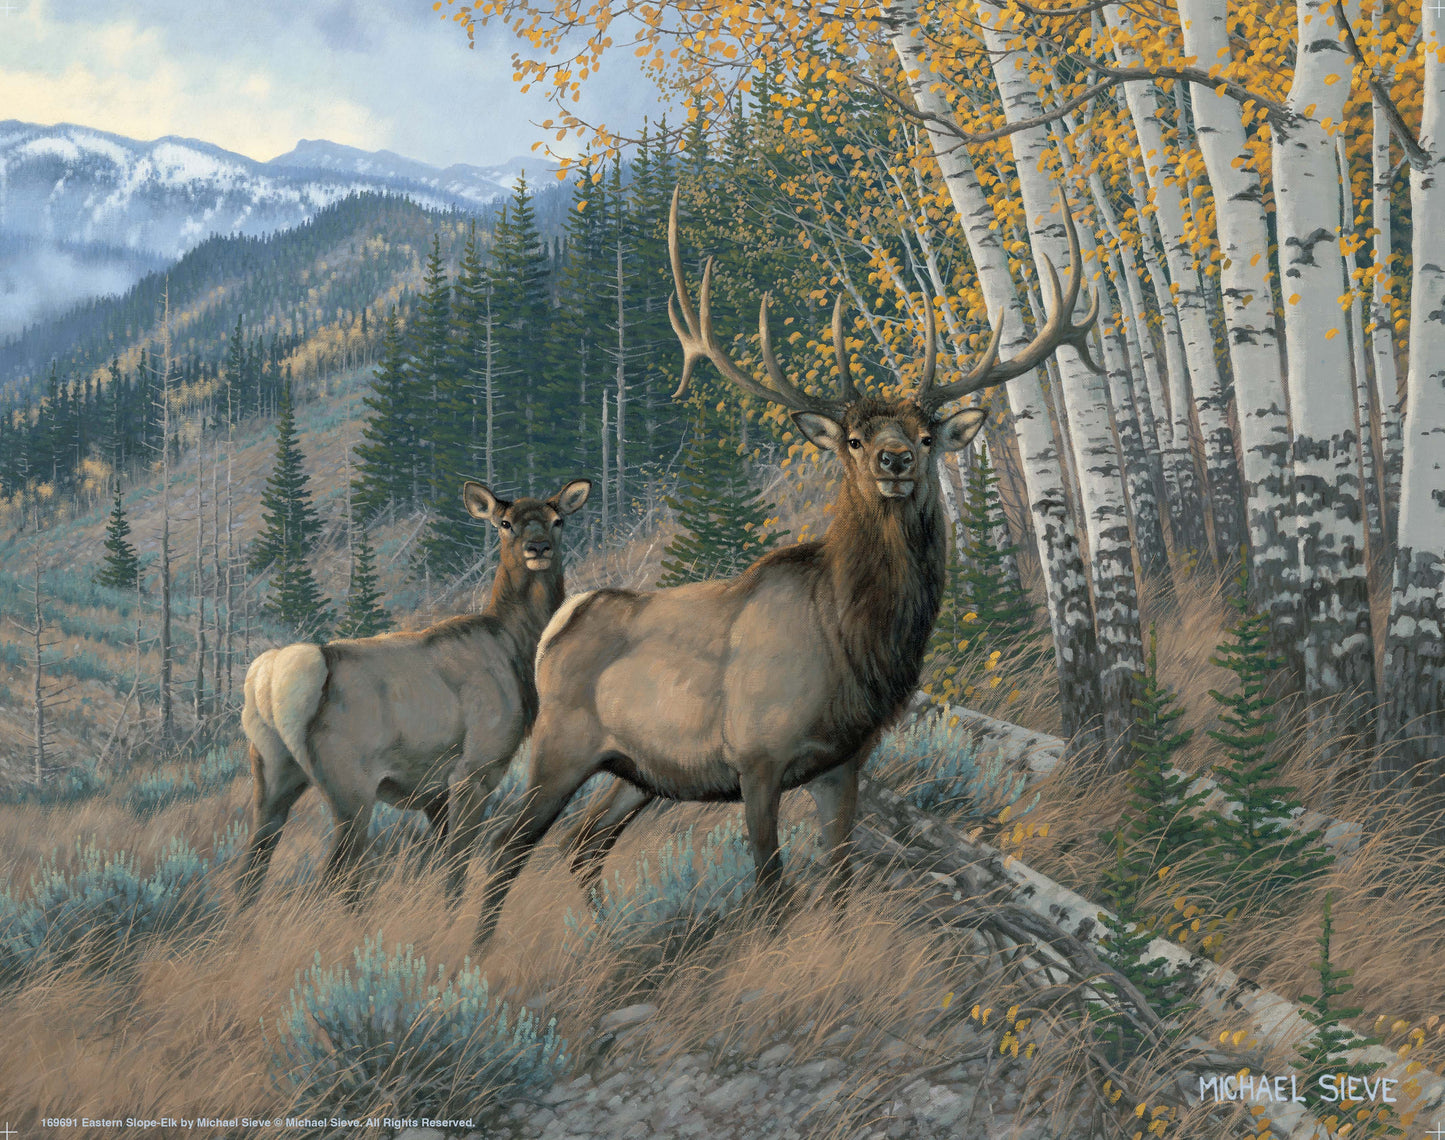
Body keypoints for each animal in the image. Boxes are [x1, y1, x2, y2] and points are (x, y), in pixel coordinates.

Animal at [237, 477, 591, 908]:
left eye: (558, 520)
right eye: (505, 523)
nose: (537, 547)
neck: (517, 652)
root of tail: (272, 678)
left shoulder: (433, 791)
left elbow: (443, 867)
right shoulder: (476, 767)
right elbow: (457, 865)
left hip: (272, 775)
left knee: (249, 874)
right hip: (349, 783)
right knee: (335, 876)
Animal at [469, 185, 1097, 947]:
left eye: (925, 434)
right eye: (853, 438)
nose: (894, 459)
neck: (851, 641)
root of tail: (559, 623)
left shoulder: (845, 763)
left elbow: (838, 883)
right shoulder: (757, 757)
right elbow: (771, 892)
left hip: (635, 771)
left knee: (584, 840)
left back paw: (609, 933)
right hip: (562, 743)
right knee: (506, 846)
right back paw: (481, 952)